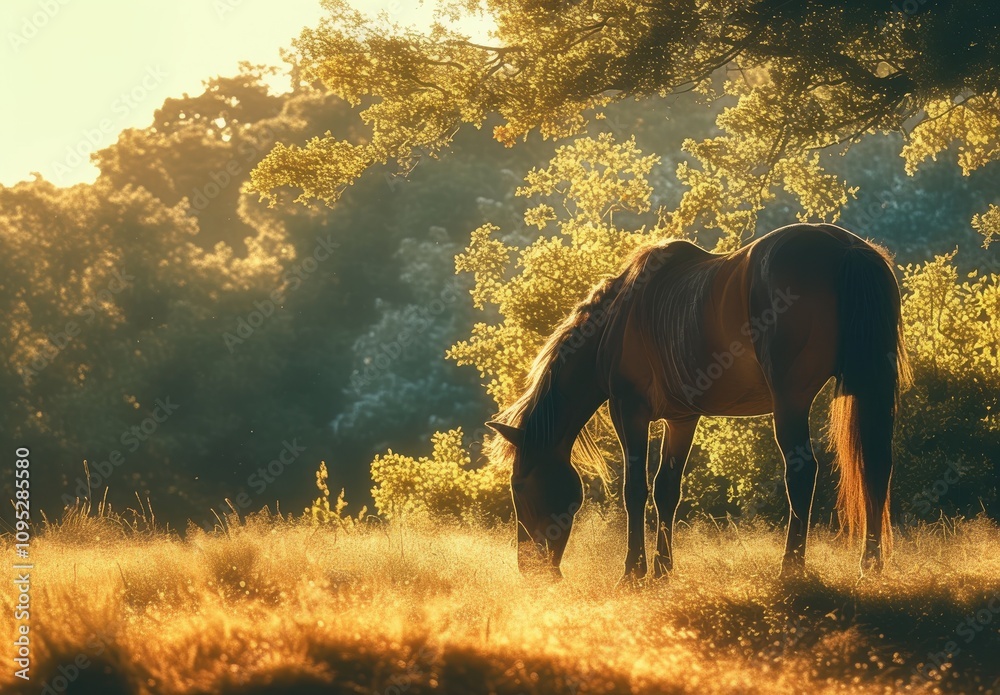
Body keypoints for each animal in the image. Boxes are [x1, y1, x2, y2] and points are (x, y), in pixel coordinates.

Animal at [486, 223, 910, 583]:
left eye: (519, 485)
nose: (529, 569)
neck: (619, 320)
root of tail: (847, 249)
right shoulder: (682, 419)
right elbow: (666, 491)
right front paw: (662, 571)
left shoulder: (629, 412)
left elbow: (635, 490)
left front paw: (633, 572)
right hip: (868, 387)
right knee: (876, 467)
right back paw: (870, 566)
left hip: (791, 401)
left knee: (802, 474)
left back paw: (791, 568)